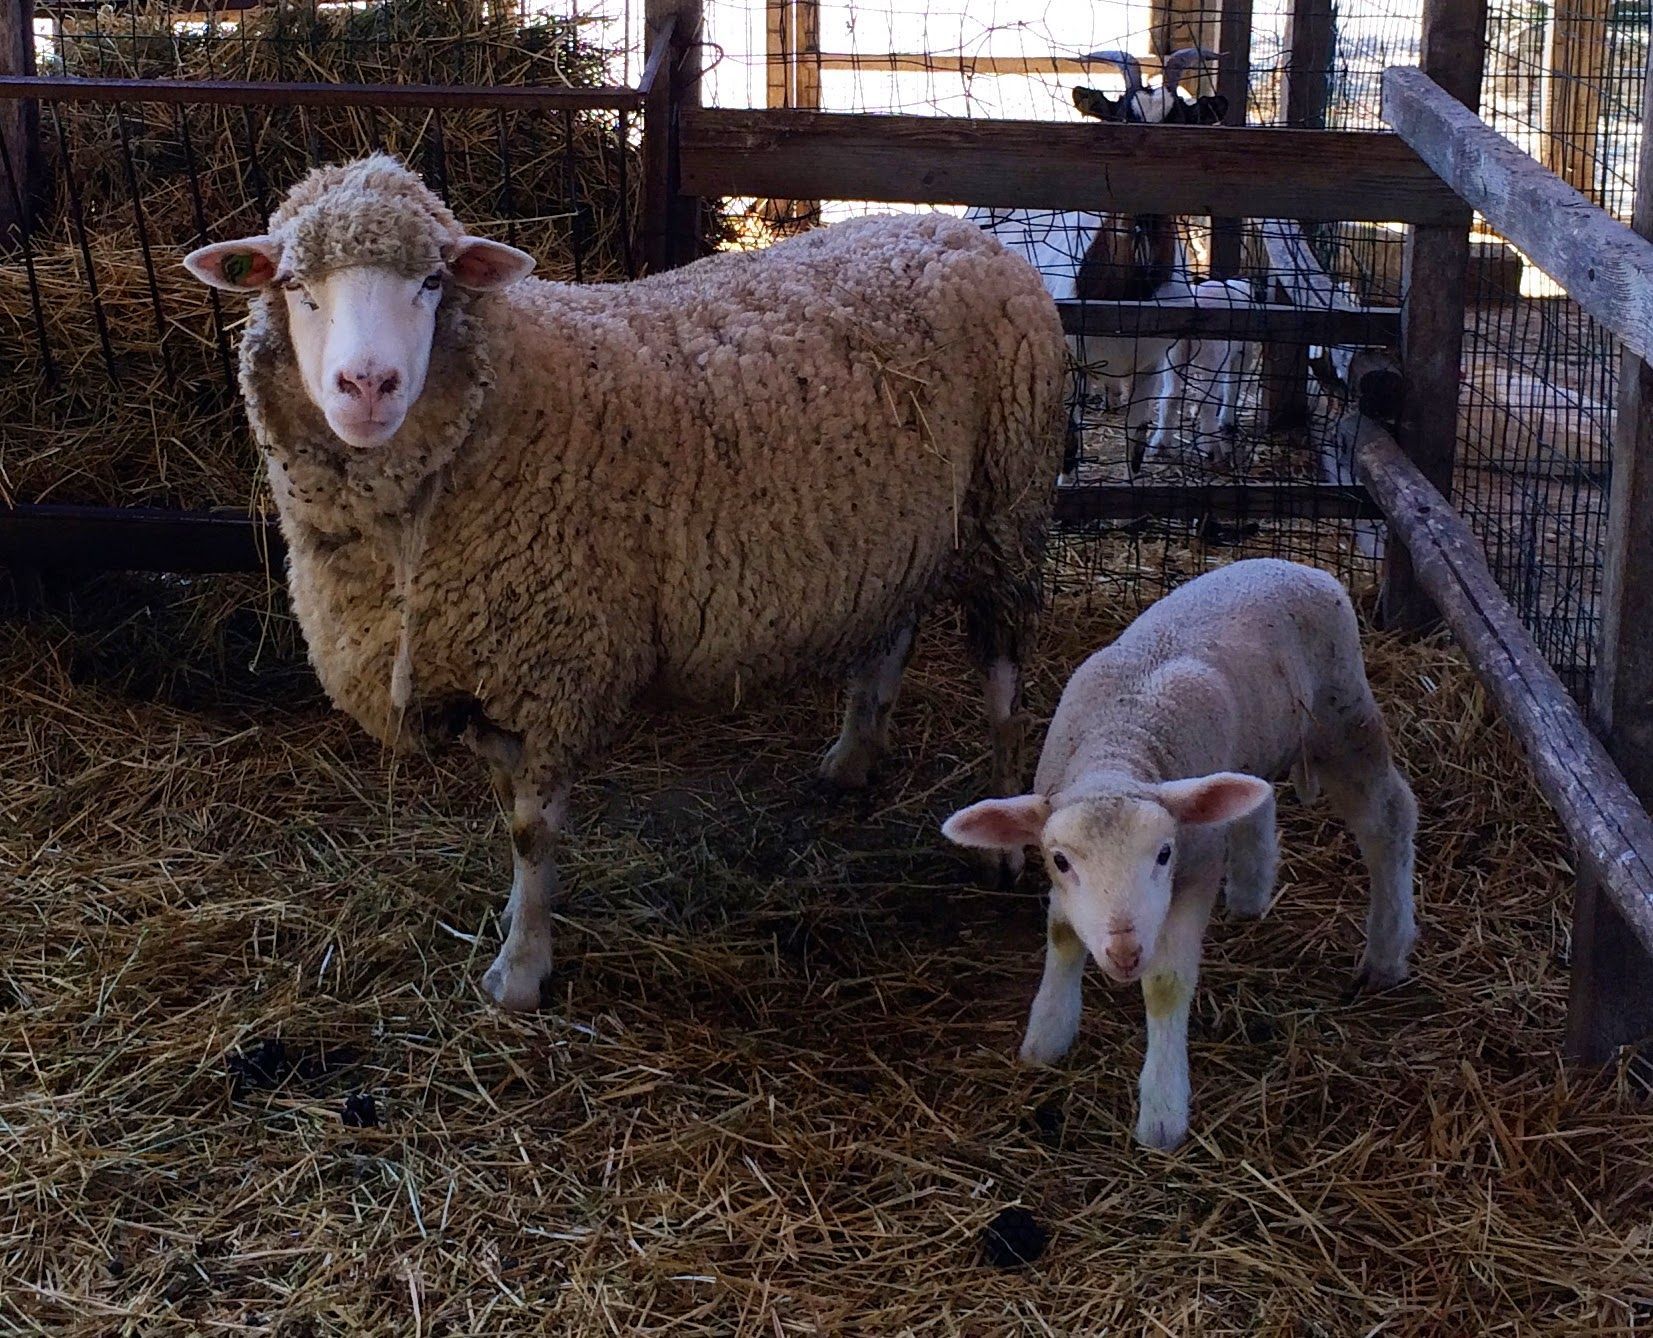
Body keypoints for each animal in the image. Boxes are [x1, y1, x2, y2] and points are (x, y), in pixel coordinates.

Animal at [182, 154, 1068, 1011]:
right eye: (294, 285)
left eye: (432, 282)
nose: (368, 386)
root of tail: (959, 232)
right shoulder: (486, 671)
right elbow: (508, 813)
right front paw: (517, 925)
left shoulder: (553, 664)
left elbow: (532, 831)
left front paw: (522, 970)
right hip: (900, 532)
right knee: (890, 633)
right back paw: (852, 757)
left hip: (1005, 503)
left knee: (1002, 681)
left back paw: (1000, 834)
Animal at [940, 558, 1417, 1150]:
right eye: (1061, 861)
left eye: (1164, 854)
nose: (1124, 952)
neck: (1121, 748)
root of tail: (1292, 563)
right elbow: (1063, 937)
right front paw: (1047, 1036)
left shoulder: (1195, 870)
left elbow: (1165, 987)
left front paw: (1163, 1112)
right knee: (1253, 796)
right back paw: (1251, 891)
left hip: (1343, 714)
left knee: (1388, 820)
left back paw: (1385, 953)